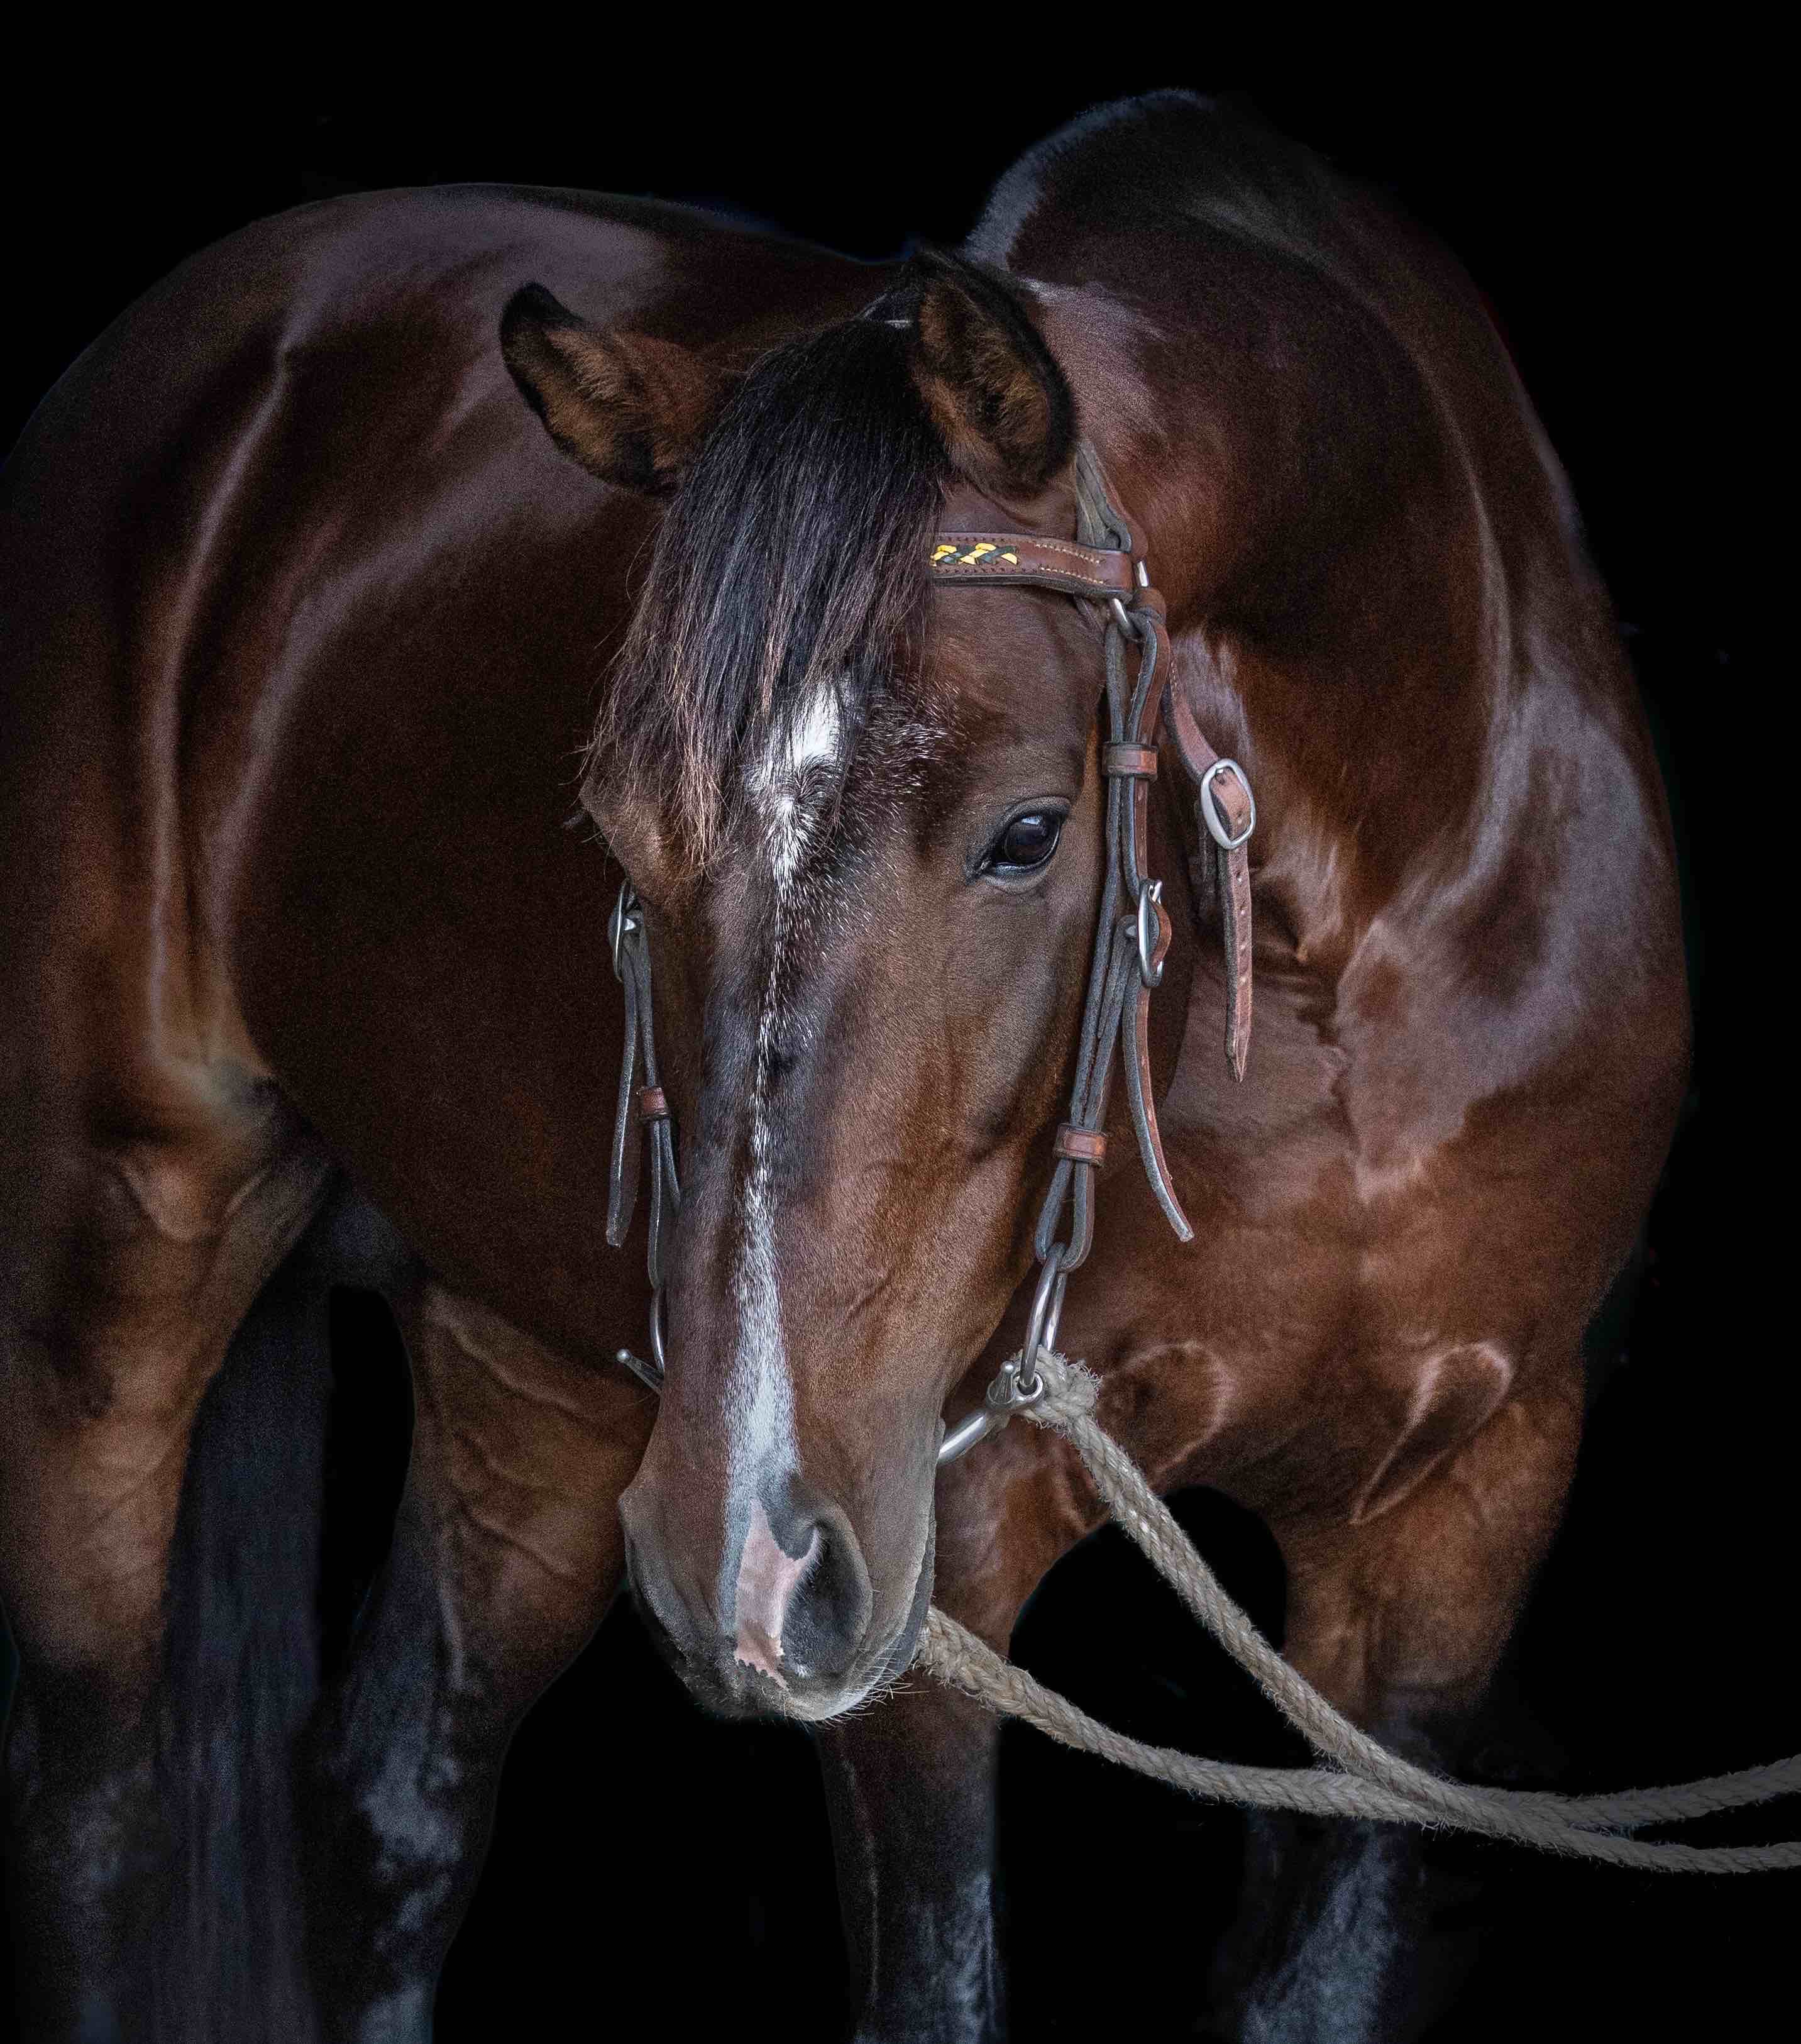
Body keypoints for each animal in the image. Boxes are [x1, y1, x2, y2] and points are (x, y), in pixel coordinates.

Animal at [0, 90, 1688, 2041]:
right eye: (617, 830)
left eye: (1029, 833)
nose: (750, 1547)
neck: (1366, 957)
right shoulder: (934, 1553)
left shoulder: (1455, 1531)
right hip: (123, 1252)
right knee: (94, 1807)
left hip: (537, 1371)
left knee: (392, 1805)